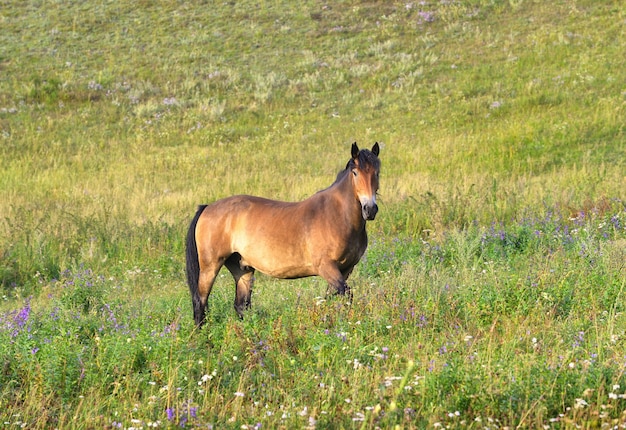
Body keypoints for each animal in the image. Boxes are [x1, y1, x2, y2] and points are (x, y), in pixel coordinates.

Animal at [184, 143, 380, 328]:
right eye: (355, 172)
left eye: (377, 172)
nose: (370, 209)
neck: (336, 214)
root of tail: (207, 207)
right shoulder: (326, 267)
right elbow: (346, 295)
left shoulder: (346, 269)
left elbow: (333, 298)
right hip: (210, 267)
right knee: (200, 302)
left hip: (243, 269)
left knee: (241, 305)